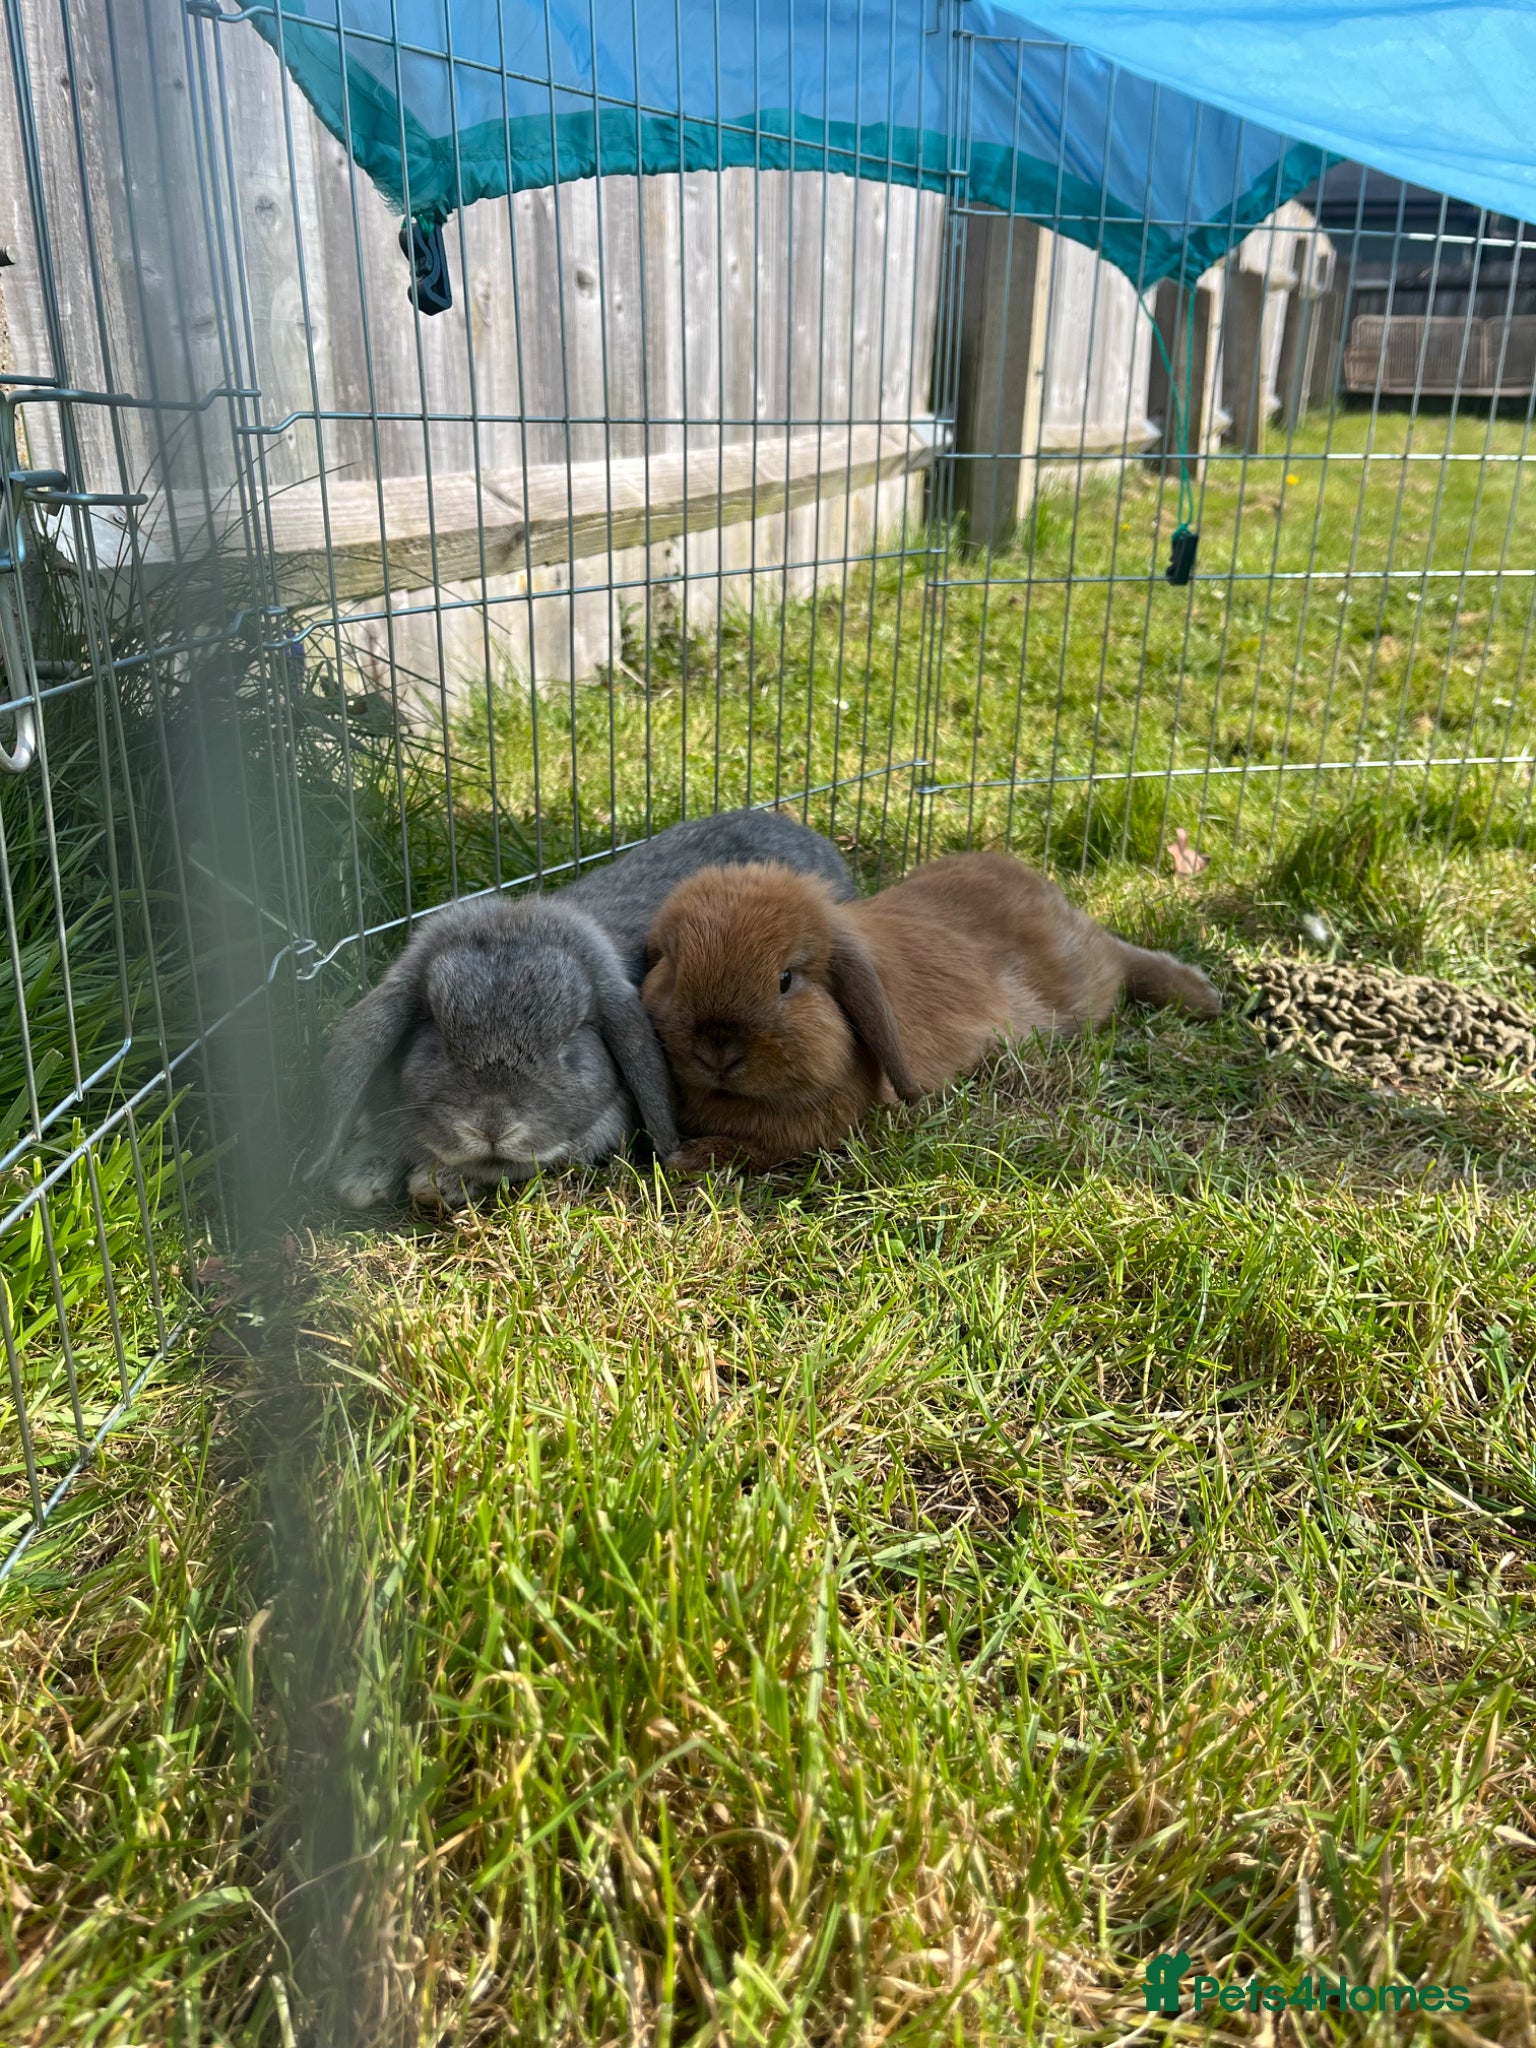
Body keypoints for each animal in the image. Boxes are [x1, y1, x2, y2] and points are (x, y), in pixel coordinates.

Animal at [641, 850, 1222, 1171]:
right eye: (672, 963)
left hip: (1085, 985)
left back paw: (1203, 995)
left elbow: (759, 1150)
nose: (717, 1050)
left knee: (1122, 961)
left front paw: (689, 1159)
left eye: (786, 979)